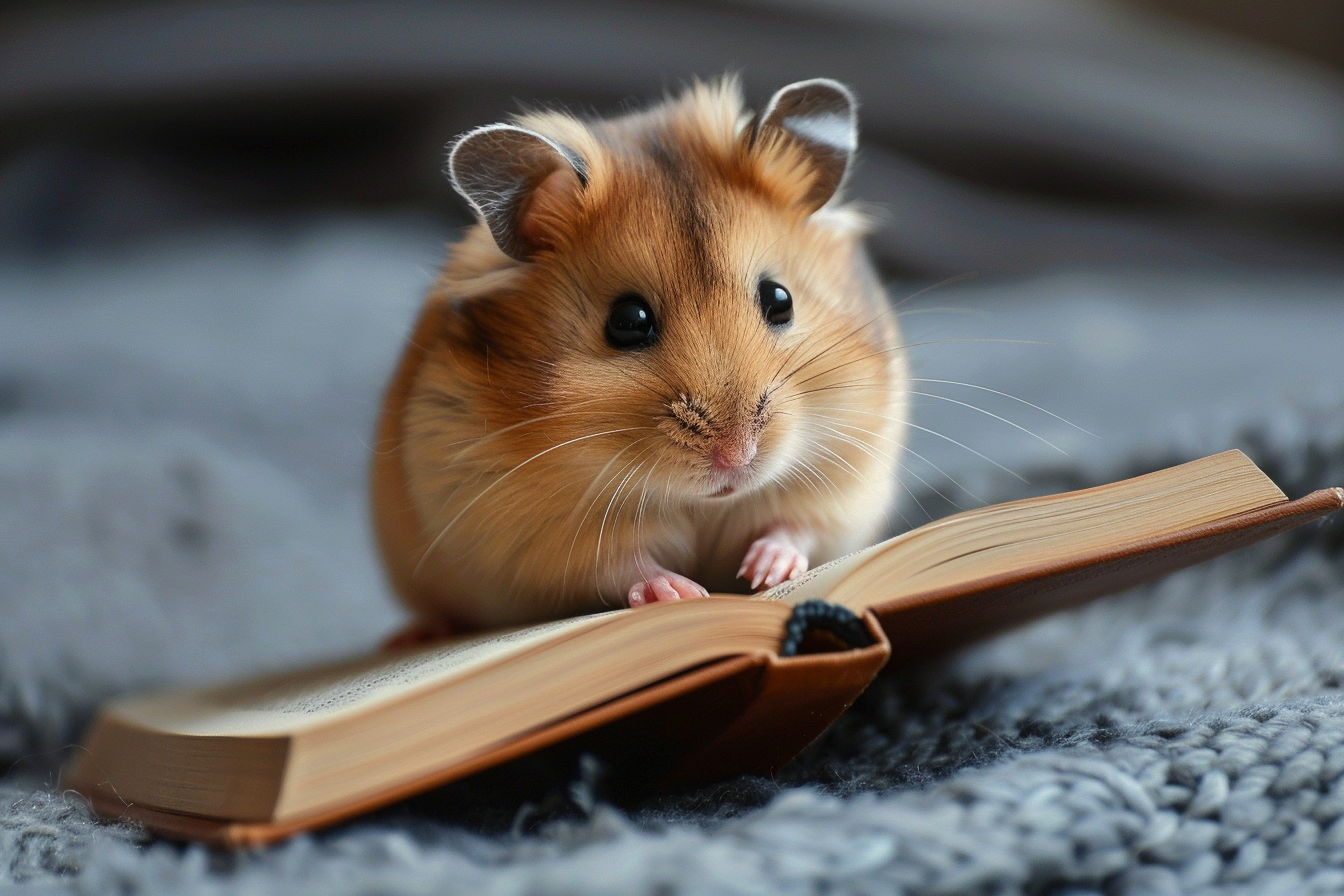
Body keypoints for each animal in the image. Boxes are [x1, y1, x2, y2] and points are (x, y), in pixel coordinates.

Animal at [371, 77, 908, 630]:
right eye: (628, 322)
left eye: (780, 300)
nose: (737, 459)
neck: (702, 503)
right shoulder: (540, 534)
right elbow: (622, 564)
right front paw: (685, 593)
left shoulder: (848, 476)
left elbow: (796, 527)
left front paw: (765, 572)